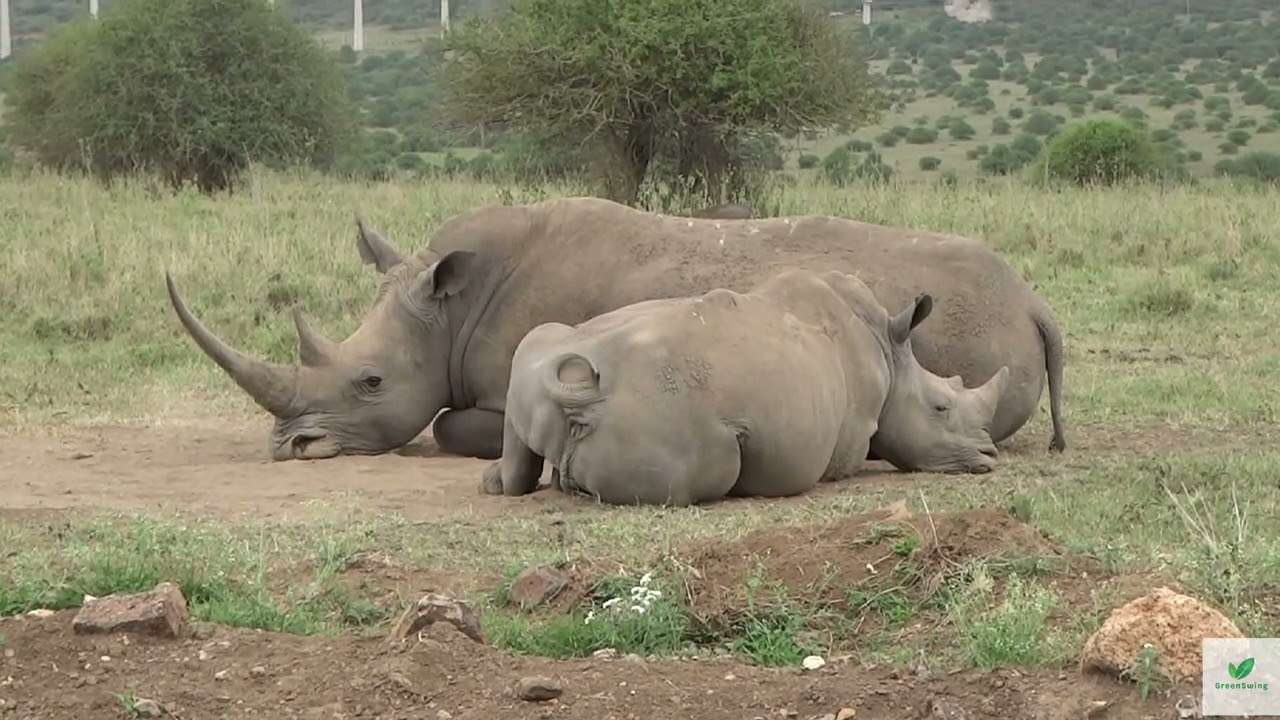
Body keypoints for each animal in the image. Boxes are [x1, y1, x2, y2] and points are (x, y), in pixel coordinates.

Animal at [482, 267, 1009, 506]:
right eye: (941, 408)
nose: (989, 456)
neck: (890, 353)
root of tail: (585, 391)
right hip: (662, 424)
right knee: (712, 466)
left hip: (541, 354)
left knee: (530, 353)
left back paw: (499, 481)